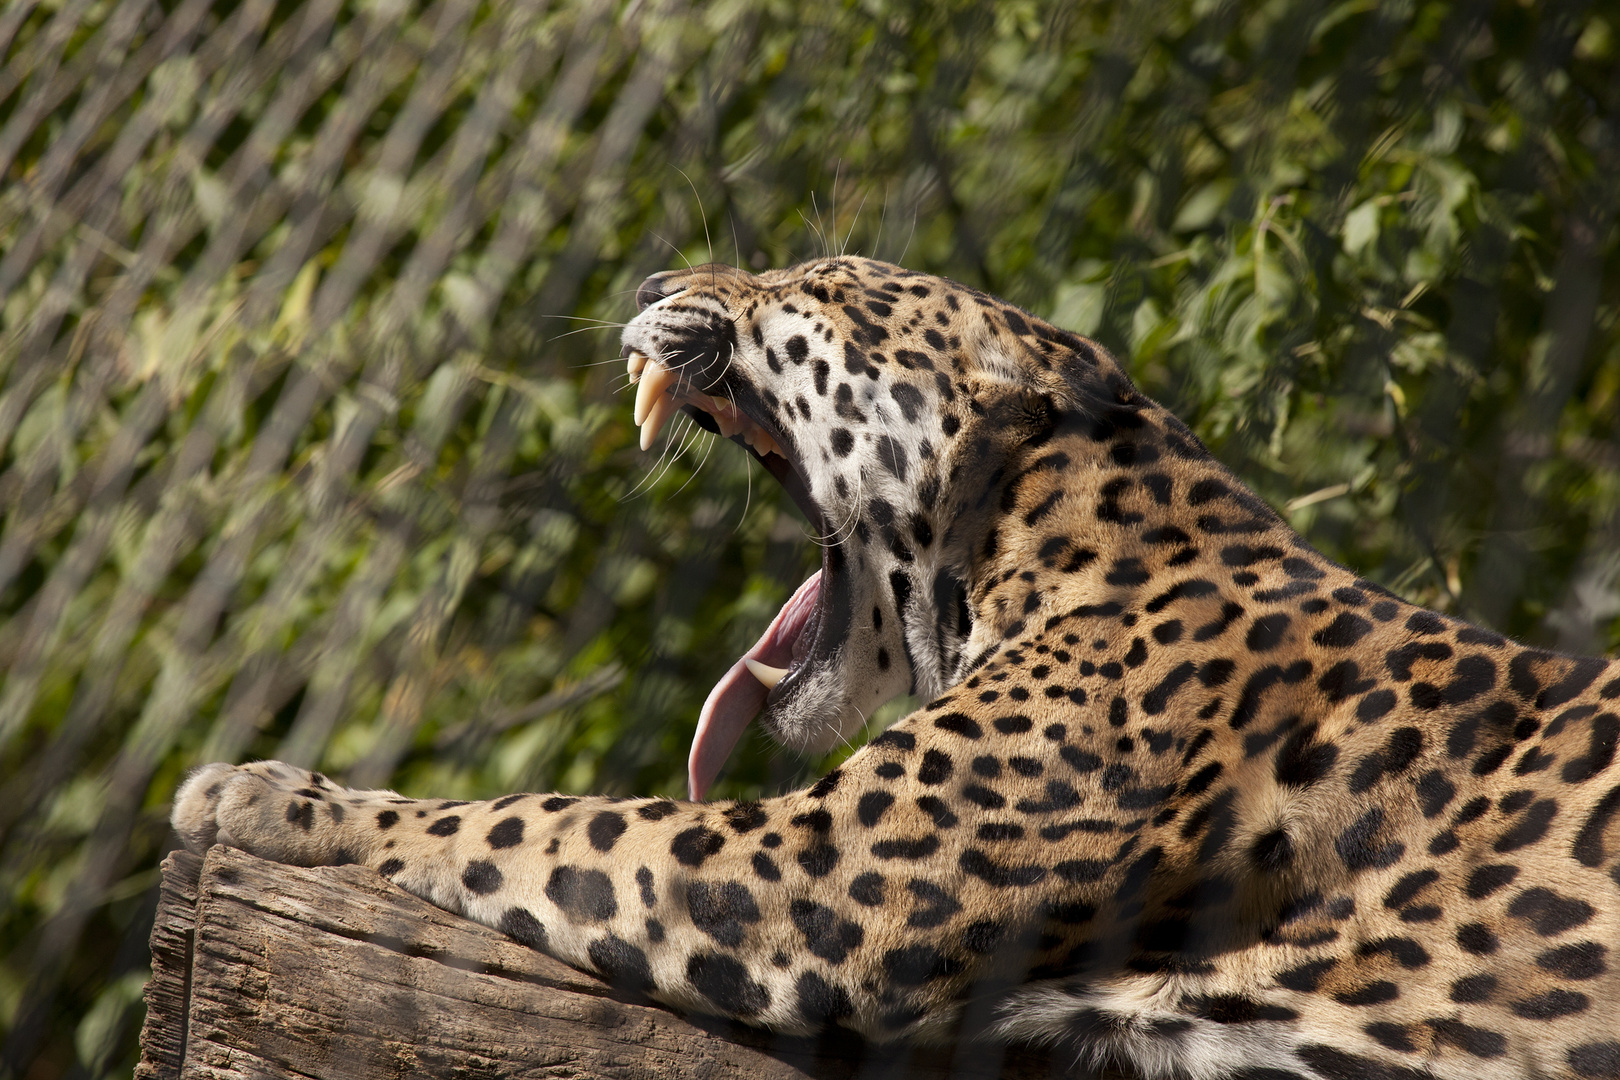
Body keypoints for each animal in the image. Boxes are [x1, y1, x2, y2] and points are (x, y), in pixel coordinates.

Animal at [177, 257, 1620, 1075]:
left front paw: (276, 798)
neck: (1056, 544)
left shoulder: (810, 871)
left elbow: (547, 817)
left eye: (807, 280)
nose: (646, 286)